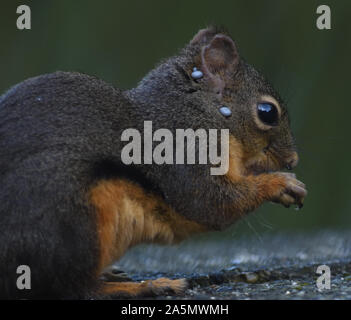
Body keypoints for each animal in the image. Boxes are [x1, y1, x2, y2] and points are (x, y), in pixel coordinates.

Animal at [0, 26, 308, 298]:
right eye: (267, 112)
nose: (293, 160)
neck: (198, 112)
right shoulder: (186, 149)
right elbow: (212, 203)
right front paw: (281, 184)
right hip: (74, 223)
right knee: (75, 289)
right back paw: (145, 286)